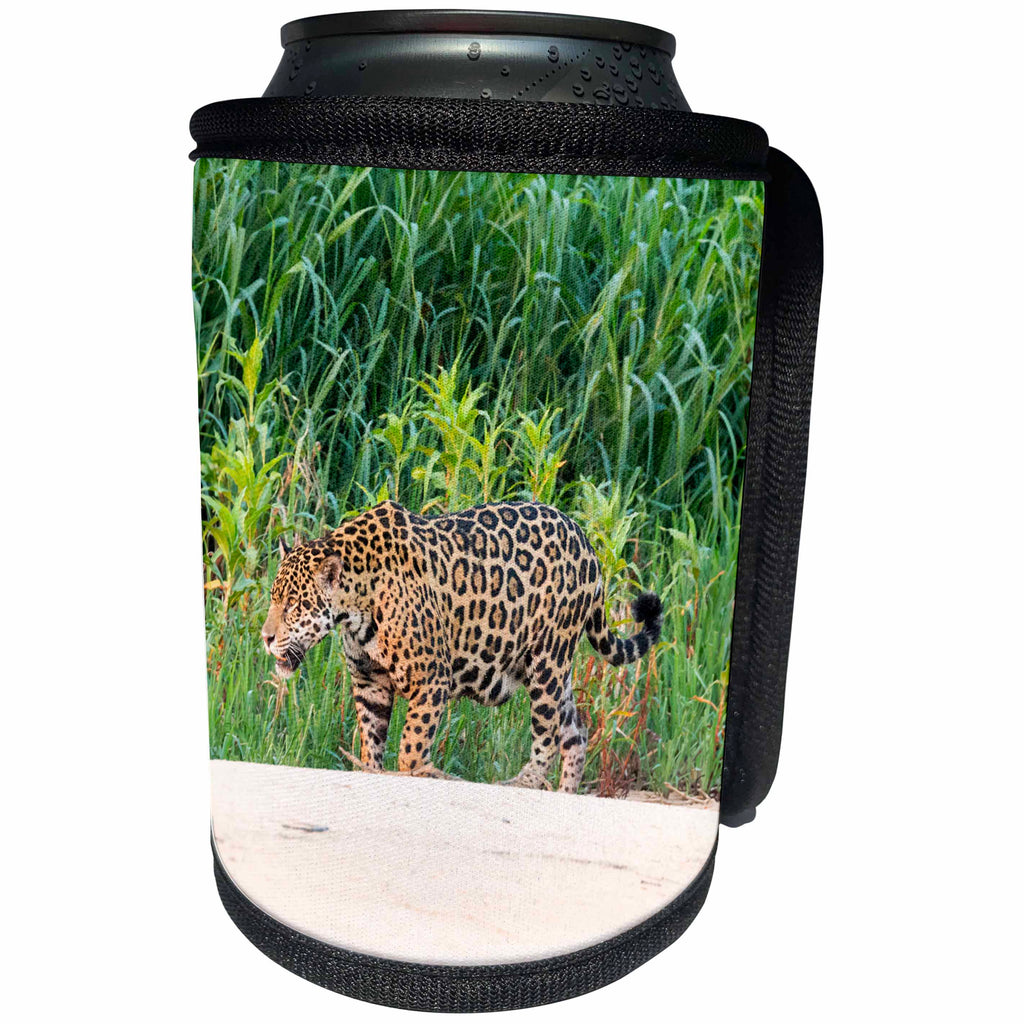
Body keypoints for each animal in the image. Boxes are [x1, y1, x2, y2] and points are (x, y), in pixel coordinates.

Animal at [260, 500, 663, 793]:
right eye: (273, 599)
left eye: (294, 605)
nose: (265, 638)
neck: (355, 606)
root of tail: (586, 542)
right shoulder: (369, 681)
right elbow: (371, 742)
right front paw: (372, 772)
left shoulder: (430, 678)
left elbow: (411, 745)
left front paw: (420, 773)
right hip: (554, 668)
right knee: (575, 735)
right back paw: (563, 795)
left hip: (548, 660)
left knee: (548, 734)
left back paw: (523, 782)